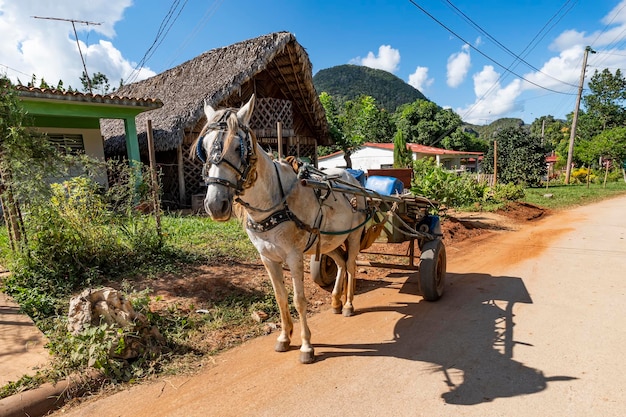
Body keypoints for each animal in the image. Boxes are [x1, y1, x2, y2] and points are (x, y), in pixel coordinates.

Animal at [193, 94, 368, 360]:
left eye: (238, 147)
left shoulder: (294, 256)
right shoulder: (267, 258)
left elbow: (299, 299)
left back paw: (348, 304)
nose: (215, 204)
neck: (275, 201)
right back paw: (336, 302)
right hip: (329, 240)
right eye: (204, 147)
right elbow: (280, 297)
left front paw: (306, 346)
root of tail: (353, 179)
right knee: (339, 263)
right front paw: (285, 337)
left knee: (350, 265)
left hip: (354, 235)